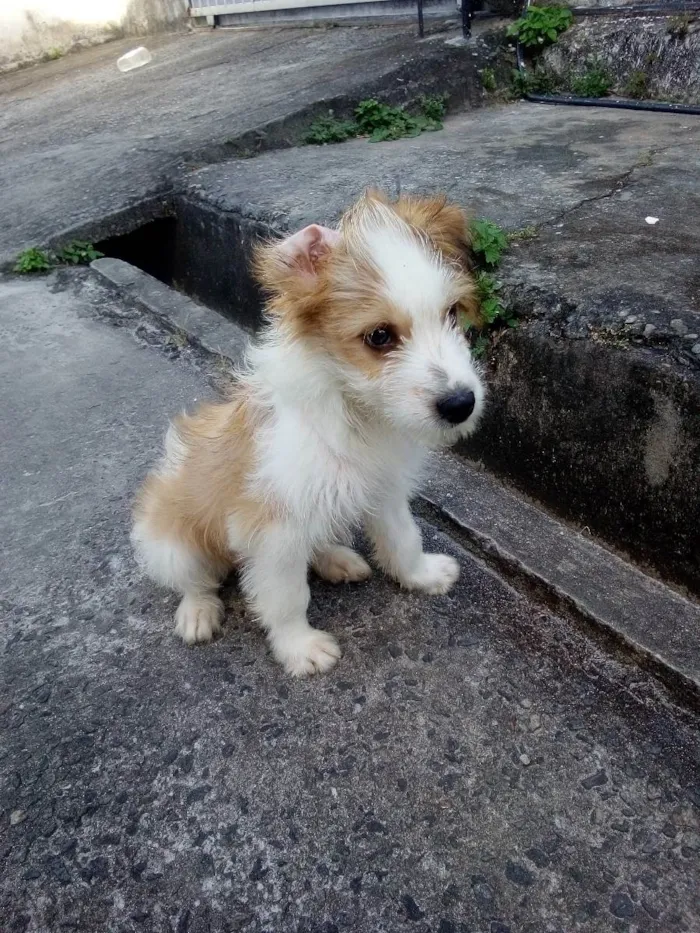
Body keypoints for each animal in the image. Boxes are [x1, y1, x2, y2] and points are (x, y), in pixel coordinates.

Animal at [131, 193, 484, 676]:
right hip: (172, 544)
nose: (461, 404)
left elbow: (403, 538)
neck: (353, 412)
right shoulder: (274, 530)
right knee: (196, 579)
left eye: (451, 313)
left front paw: (420, 575)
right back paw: (198, 610)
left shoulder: (386, 491)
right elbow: (286, 597)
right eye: (379, 336)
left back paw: (335, 558)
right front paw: (299, 646)